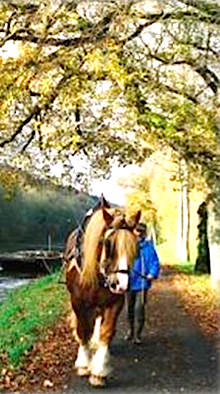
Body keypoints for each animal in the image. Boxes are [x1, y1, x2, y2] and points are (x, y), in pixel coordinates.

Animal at [64, 202, 141, 386]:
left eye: (135, 246)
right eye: (108, 243)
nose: (121, 284)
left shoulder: (115, 302)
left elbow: (107, 331)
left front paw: (99, 372)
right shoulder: (78, 302)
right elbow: (83, 329)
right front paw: (83, 364)